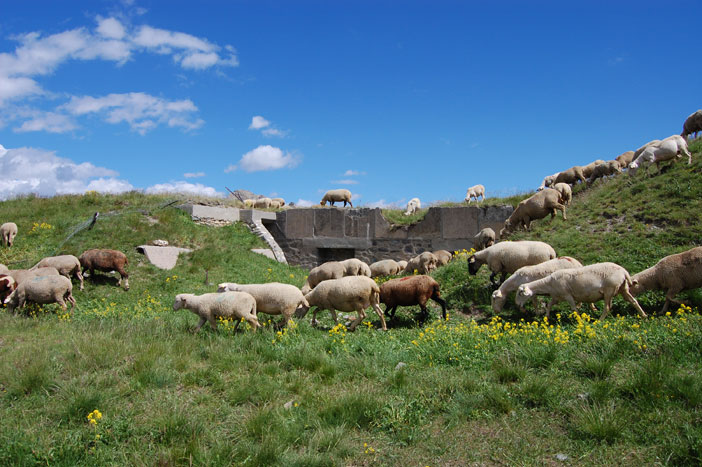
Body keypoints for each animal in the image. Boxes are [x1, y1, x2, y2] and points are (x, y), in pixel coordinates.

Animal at [516, 264, 648, 322]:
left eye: (520, 293)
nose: (517, 304)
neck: (548, 284)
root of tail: (624, 271)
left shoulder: (567, 295)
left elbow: (574, 308)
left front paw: (580, 320)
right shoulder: (557, 296)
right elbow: (549, 305)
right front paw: (547, 317)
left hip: (609, 290)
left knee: (607, 307)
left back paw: (599, 321)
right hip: (623, 288)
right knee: (633, 301)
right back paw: (644, 315)